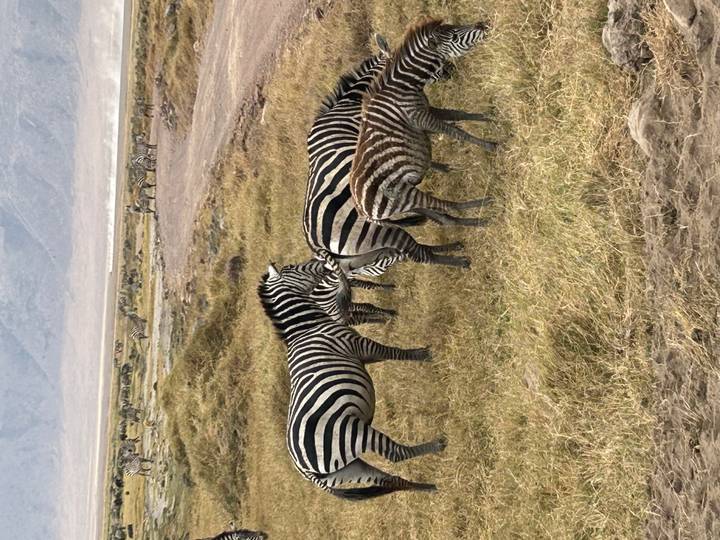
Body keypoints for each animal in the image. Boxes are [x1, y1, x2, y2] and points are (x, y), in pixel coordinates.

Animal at [258, 262, 445, 500]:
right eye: (295, 268)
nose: (325, 264)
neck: (307, 327)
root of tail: (304, 469)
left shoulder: (363, 355)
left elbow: (387, 352)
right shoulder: (359, 345)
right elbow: (392, 352)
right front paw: (422, 354)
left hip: (345, 470)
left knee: (390, 479)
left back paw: (429, 488)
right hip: (352, 433)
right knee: (395, 453)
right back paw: (437, 446)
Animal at [349, 18, 496, 227]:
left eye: (454, 27)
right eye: (454, 36)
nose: (484, 25)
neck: (403, 86)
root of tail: (362, 211)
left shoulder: (426, 108)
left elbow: (458, 113)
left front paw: (489, 117)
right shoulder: (420, 118)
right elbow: (456, 132)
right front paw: (491, 145)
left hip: (404, 205)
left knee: (443, 218)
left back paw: (476, 223)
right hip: (405, 196)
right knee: (445, 206)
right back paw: (485, 206)